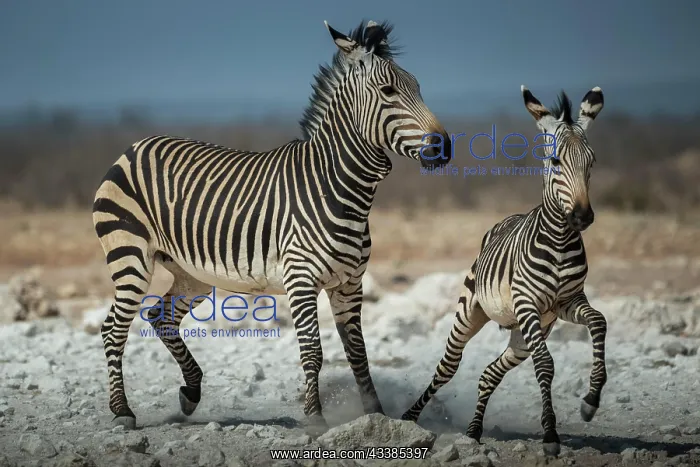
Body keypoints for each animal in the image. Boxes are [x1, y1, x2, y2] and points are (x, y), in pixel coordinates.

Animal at [92, 19, 450, 434]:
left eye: (418, 87)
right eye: (388, 91)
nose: (443, 147)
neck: (341, 190)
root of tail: (133, 147)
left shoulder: (349, 284)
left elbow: (358, 353)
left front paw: (375, 416)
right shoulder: (301, 279)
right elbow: (313, 351)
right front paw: (315, 418)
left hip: (190, 272)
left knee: (160, 317)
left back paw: (191, 393)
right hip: (130, 256)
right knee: (114, 328)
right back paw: (122, 410)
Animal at [401, 85, 606, 457]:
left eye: (591, 162)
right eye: (556, 162)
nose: (582, 217)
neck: (559, 239)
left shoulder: (568, 303)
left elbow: (599, 322)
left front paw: (590, 401)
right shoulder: (527, 303)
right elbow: (546, 365)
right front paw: (550, 435)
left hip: (526, 333)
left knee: (489, 373)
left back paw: (473, 430)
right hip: (472, 312)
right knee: (448, 367)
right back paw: (409, 417)